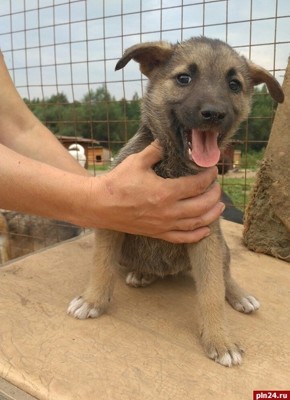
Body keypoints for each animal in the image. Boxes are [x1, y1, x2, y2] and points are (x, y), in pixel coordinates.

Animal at [68, 36, 284, 366]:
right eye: (184, 79)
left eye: (234, 84)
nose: (214, 113)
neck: (173, 167)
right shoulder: (111, 219)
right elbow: (101, 265)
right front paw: (92, 300)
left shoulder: (206, 235)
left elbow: (211, 291)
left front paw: (220, 339)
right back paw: (143, 273)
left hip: (221, 246)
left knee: (225, 274)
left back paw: (239, 295)